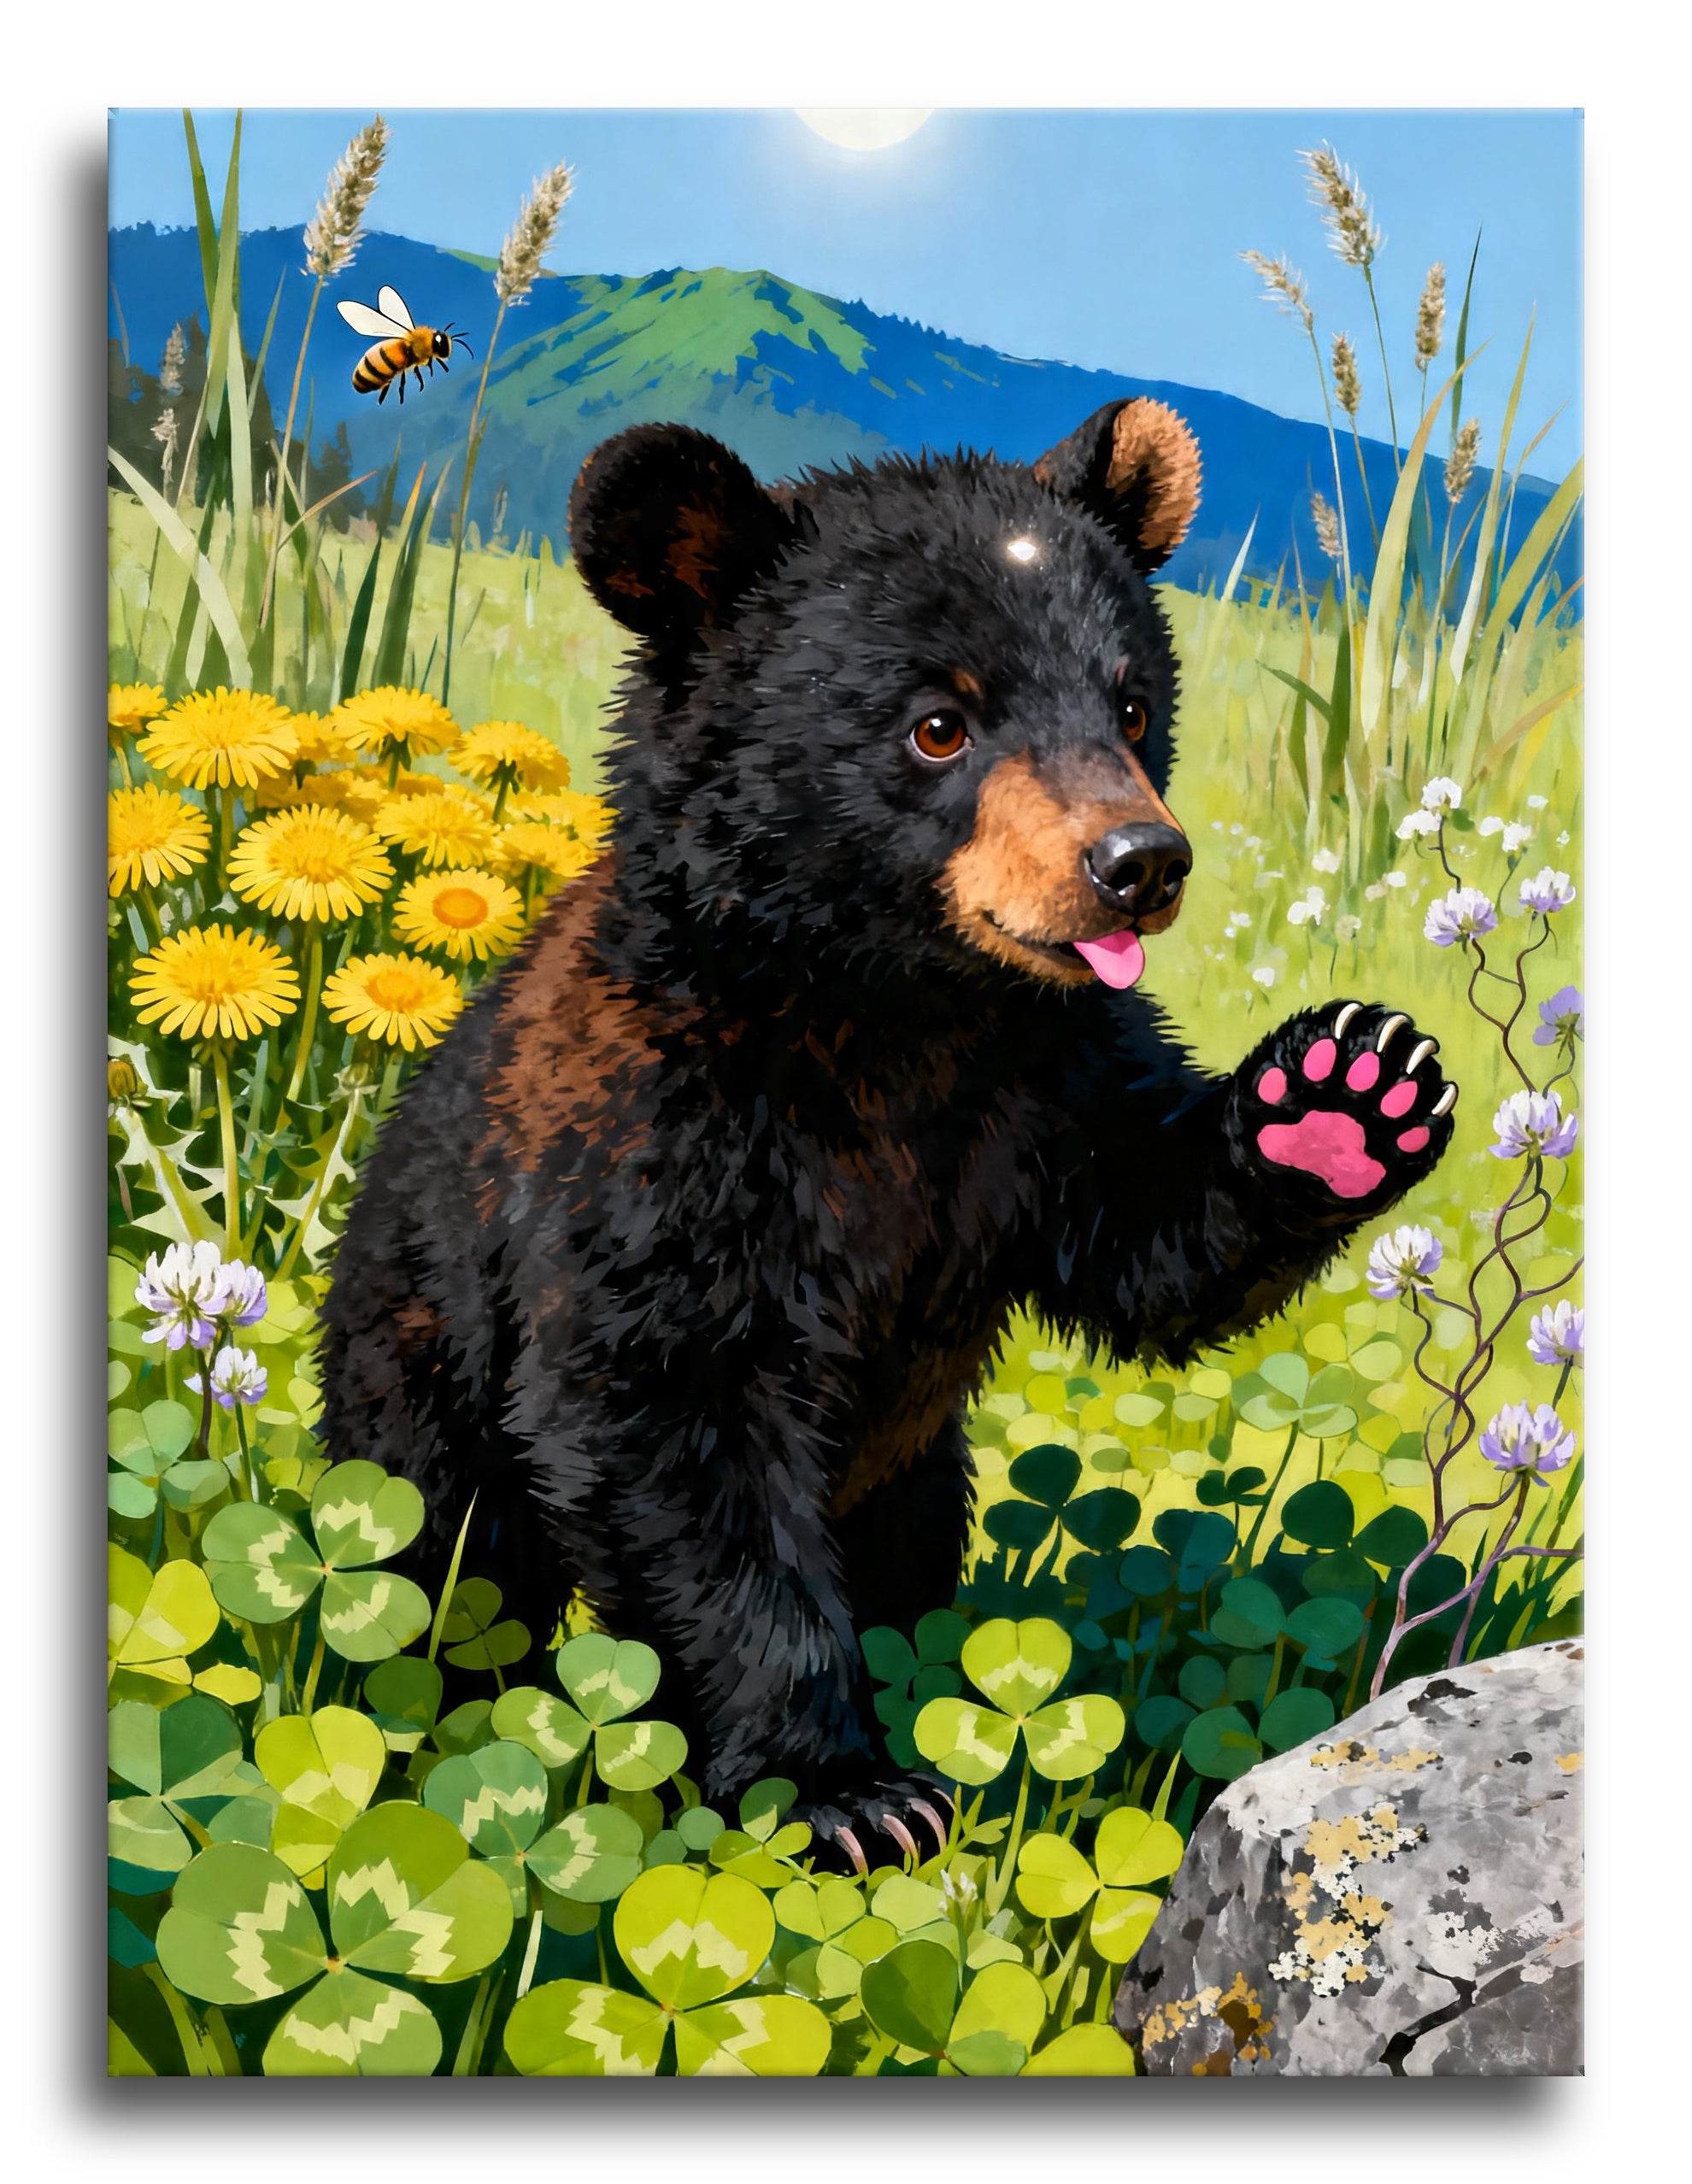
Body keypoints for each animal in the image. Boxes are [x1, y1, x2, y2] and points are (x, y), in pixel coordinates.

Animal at [317, 398, 1456, 1867]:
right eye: (936, 724)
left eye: (1132, 705)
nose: (1139, 863)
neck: (901, 1017)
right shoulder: (656, 1147)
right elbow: (675, 1422)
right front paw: (843, 1795)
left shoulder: (1047, 1089)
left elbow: (1145, 1244)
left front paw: (1347, 1094)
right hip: (419, 1383)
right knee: (444, 1573)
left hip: (917, 1477)